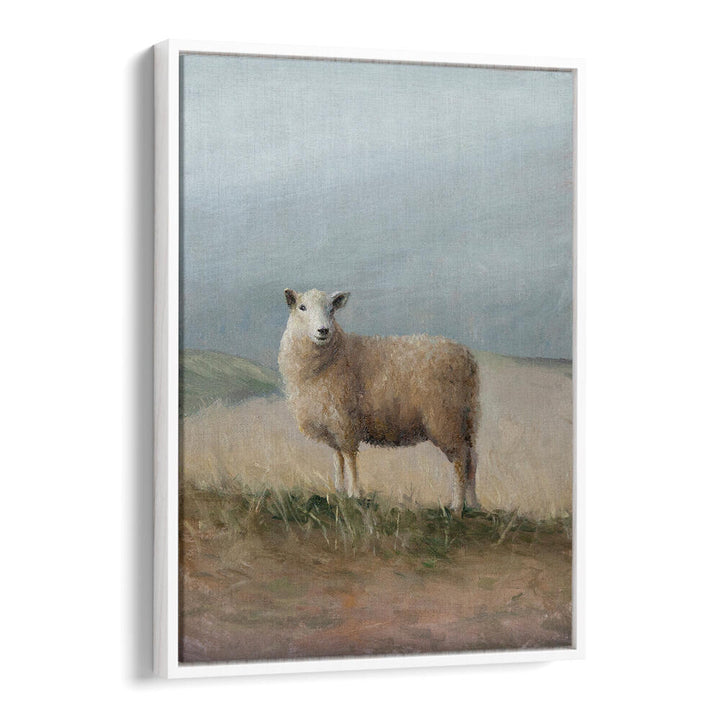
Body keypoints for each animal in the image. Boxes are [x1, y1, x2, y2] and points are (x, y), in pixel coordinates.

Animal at [278, 288, 480, 514]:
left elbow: (350, 458)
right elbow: (337, 459)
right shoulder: (332, 422)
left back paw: (457, 506)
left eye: (332, 309)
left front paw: (354, 494)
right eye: (302, 307)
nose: (323, 330)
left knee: (460, 460)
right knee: (472, 459)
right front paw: (338, 491)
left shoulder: (345, 422)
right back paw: (473, 504)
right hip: (467, 418)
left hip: (446, 418)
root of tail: (466, 357)